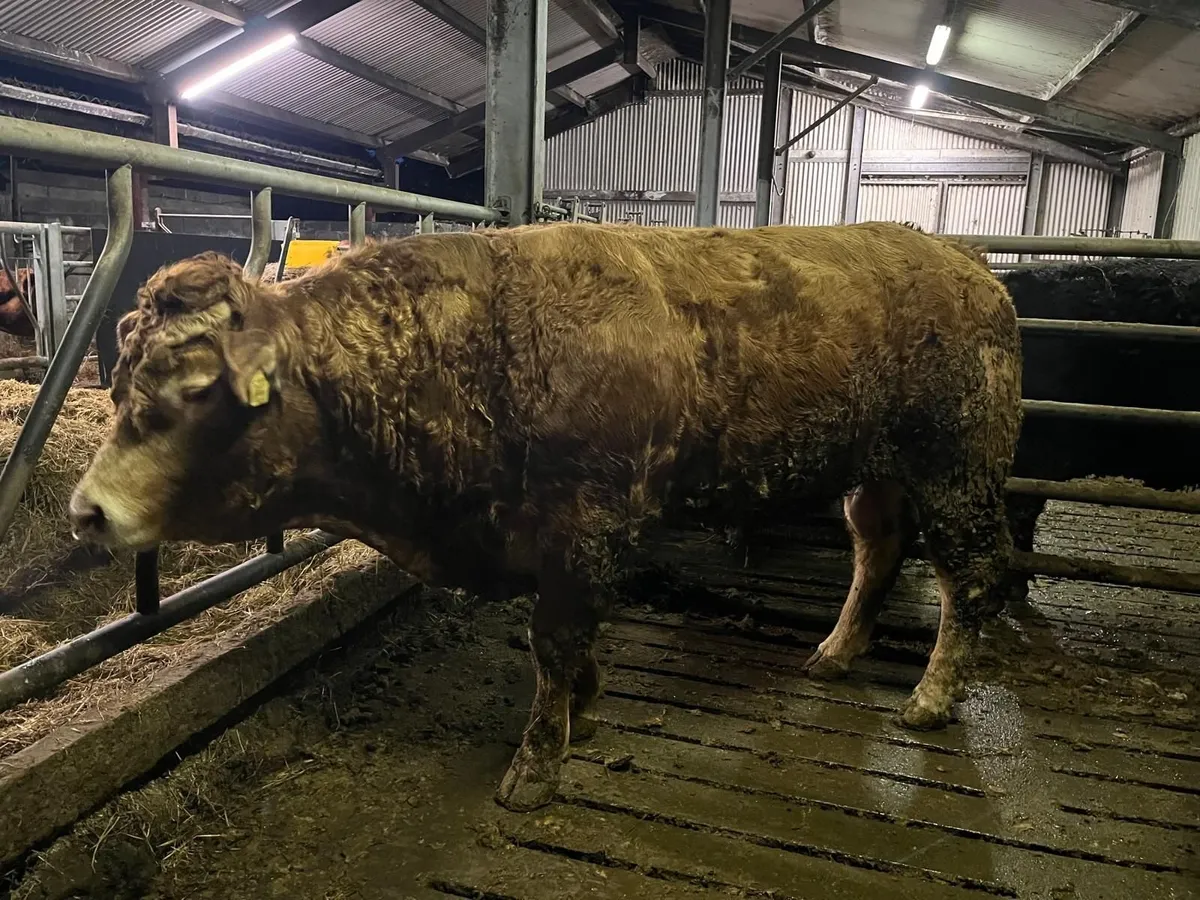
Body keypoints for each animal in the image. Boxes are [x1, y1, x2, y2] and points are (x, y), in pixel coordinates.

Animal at [68, 221, 1023, 812]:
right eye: (117, 381)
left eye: (198, 389)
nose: (87, 511)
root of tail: (964, 261)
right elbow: (573, 642)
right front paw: (584, 709)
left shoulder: (581, 525)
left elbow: (556, 642)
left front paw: (536, 764)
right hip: (880, 473)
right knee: (878, 550)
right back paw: (835, 652)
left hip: (956, 469)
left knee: (972, 576)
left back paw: (931, 697)